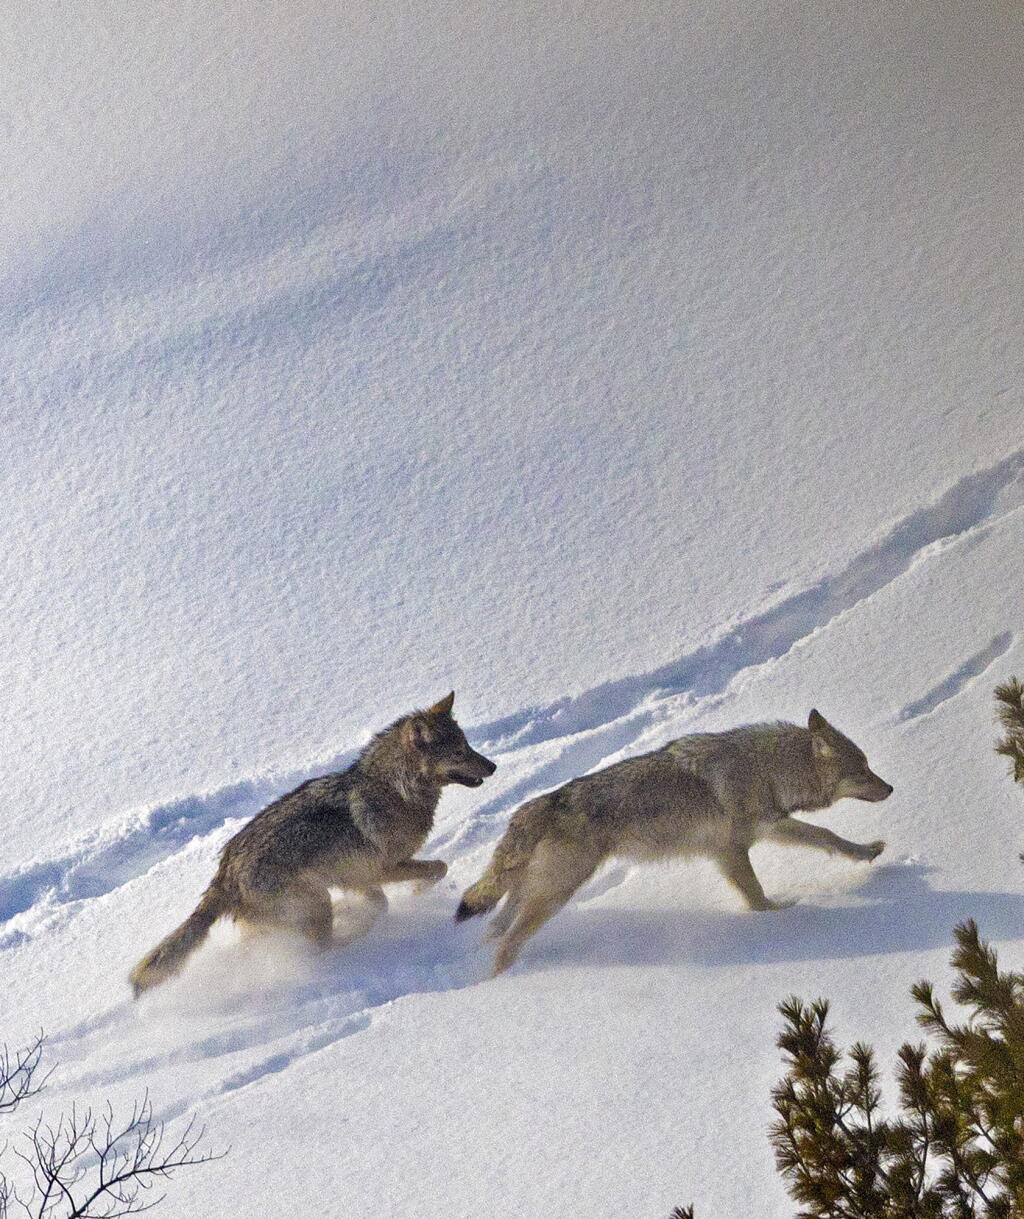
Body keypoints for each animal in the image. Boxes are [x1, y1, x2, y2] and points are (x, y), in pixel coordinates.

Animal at [130, 692, 495, 996]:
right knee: (319, 946)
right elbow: (436, 869)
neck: (395, 790)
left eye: (468, 745)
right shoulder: (381, 869)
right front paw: (413, 893)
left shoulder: (358, 877)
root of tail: (224, 876)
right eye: (460, 752)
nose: (493, 766)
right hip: (316, 902)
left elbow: (388, 898)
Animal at [456, 710, 891, 976]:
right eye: (863, 771)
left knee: (493, 931)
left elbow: (827, 836)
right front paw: (779, 917)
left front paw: (868, 852)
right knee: (506, 945)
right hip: (555, 895)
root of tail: (532, 809)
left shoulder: (771, 828)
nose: (890, 788)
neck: (766, 770)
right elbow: (756, 897)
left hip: (529, 893)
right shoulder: (731, 852)